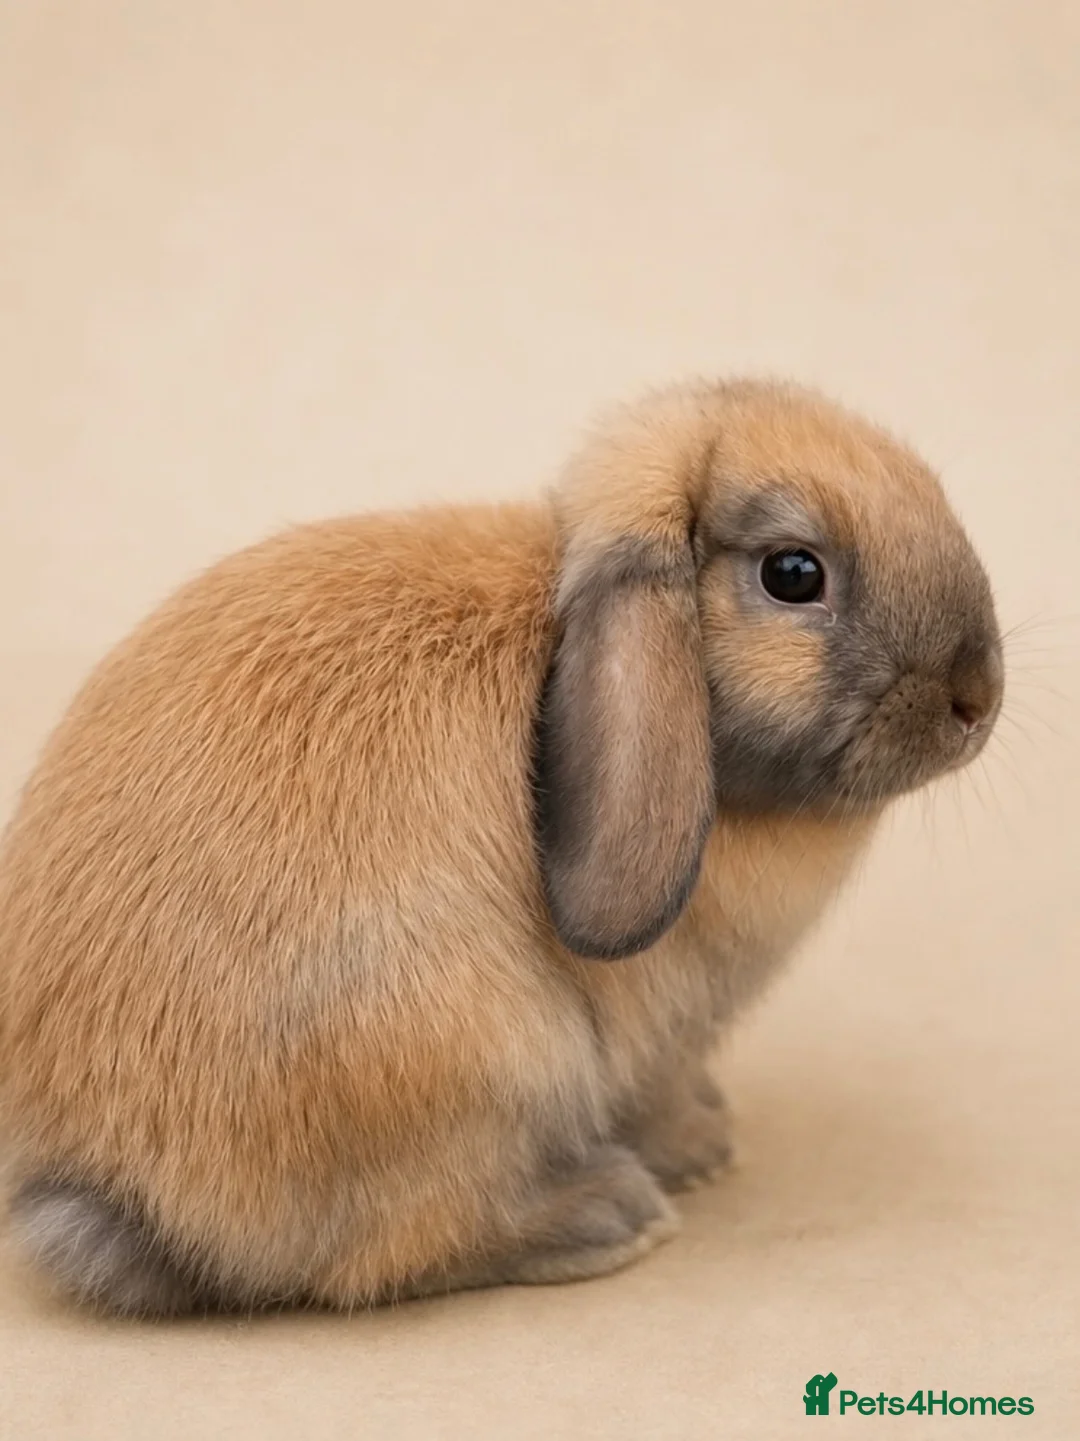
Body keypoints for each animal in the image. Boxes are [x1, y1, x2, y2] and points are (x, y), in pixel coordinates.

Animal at [0, 378, 1003, 1317]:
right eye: (793, 573)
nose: (976, 698)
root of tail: (87, 1182)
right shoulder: (652, 1038)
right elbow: (653, 1095)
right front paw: (701, 1149)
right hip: (494, 1062)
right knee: (393, 1250)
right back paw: (608, 1214)